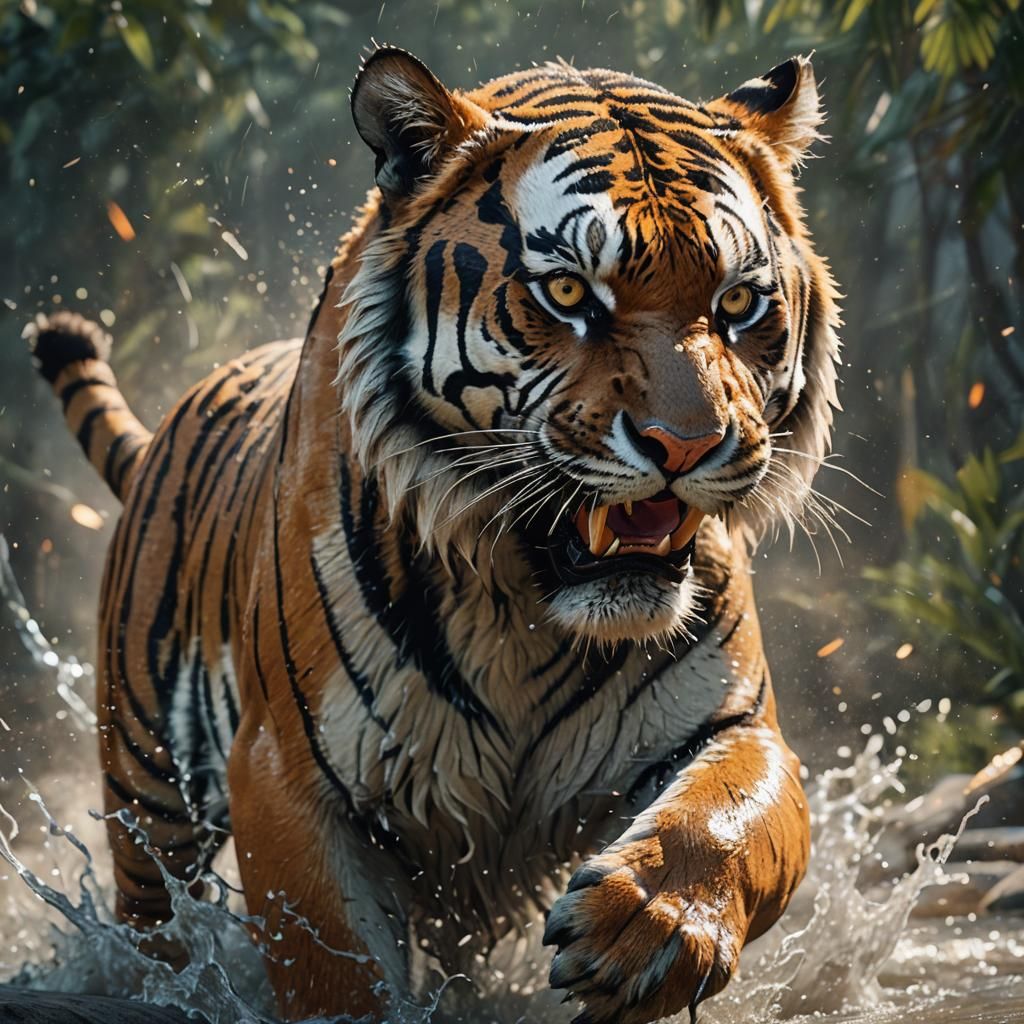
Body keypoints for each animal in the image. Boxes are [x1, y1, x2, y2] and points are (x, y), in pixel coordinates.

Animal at [29, 45, 839, 1024]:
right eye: (569, 292)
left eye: (739, 302)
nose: (686, 443)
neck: (526, 607)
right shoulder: (289, 777)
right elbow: (334, 971)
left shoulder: (733, 724)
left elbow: (730, 819)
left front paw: (646, 931)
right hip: (147, 783)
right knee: (153, 921)